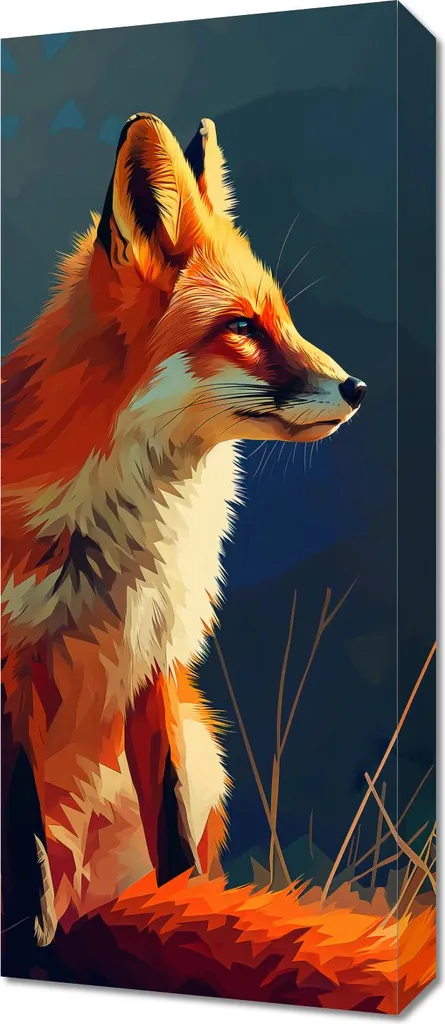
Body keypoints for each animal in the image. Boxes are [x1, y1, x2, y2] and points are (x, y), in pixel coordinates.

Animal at [3, 113, 430, 1008]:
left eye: (283, 318)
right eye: (241, 327)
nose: (357, 389)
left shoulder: (158, 662)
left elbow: (172, 846)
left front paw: (182, 914)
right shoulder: (14, 669)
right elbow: (23, 851)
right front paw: (39, 939)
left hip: (206, 742)